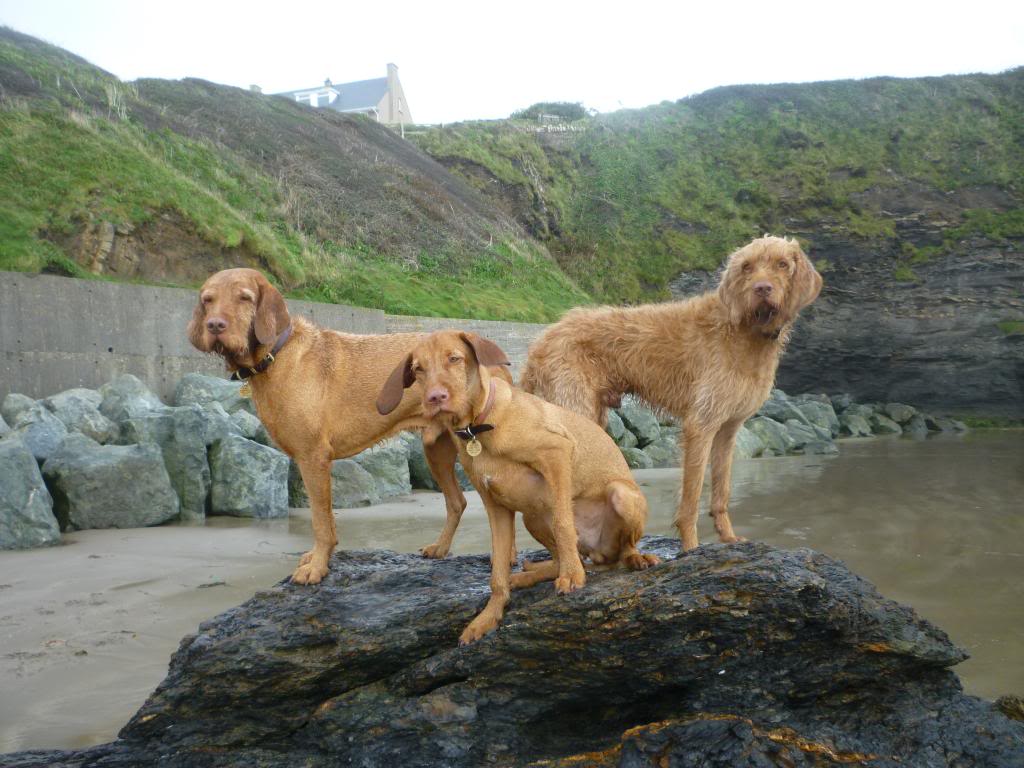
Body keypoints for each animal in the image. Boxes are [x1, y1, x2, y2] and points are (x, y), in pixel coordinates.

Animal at [187, 268, 512, 581]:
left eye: (244, 297)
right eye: (208, 299)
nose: (214, 325)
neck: (277, 355)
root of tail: (490, 349)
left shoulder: (313, 457)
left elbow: (320, 521)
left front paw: (317, 567)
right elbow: (327, 520)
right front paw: (318, 558)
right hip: (437, 450)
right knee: (457, 502)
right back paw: (441, 547)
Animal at [376, 329, 655, 643]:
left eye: (454, 358)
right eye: (418, 369)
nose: (435, 397)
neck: (479, 426)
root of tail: (600, 553)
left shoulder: (557, 453)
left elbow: (563, 525)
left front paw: (572, 576)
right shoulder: (495, 506)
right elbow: (498, 569)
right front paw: (488, 617)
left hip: (620, 495)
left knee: (619, 550)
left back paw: (632, 559)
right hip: (532, 516)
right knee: (561, 558)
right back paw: (528, 575)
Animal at [520, 234, 823, 552]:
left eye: (782, 264)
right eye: (747, 267)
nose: (762, 288)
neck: (743, 329)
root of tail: (540, 343)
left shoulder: (728, 430)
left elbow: (722, 489)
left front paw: (728, 537)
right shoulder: (700, 425)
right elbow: (691, 498)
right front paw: (691, 547)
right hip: (575, 412)